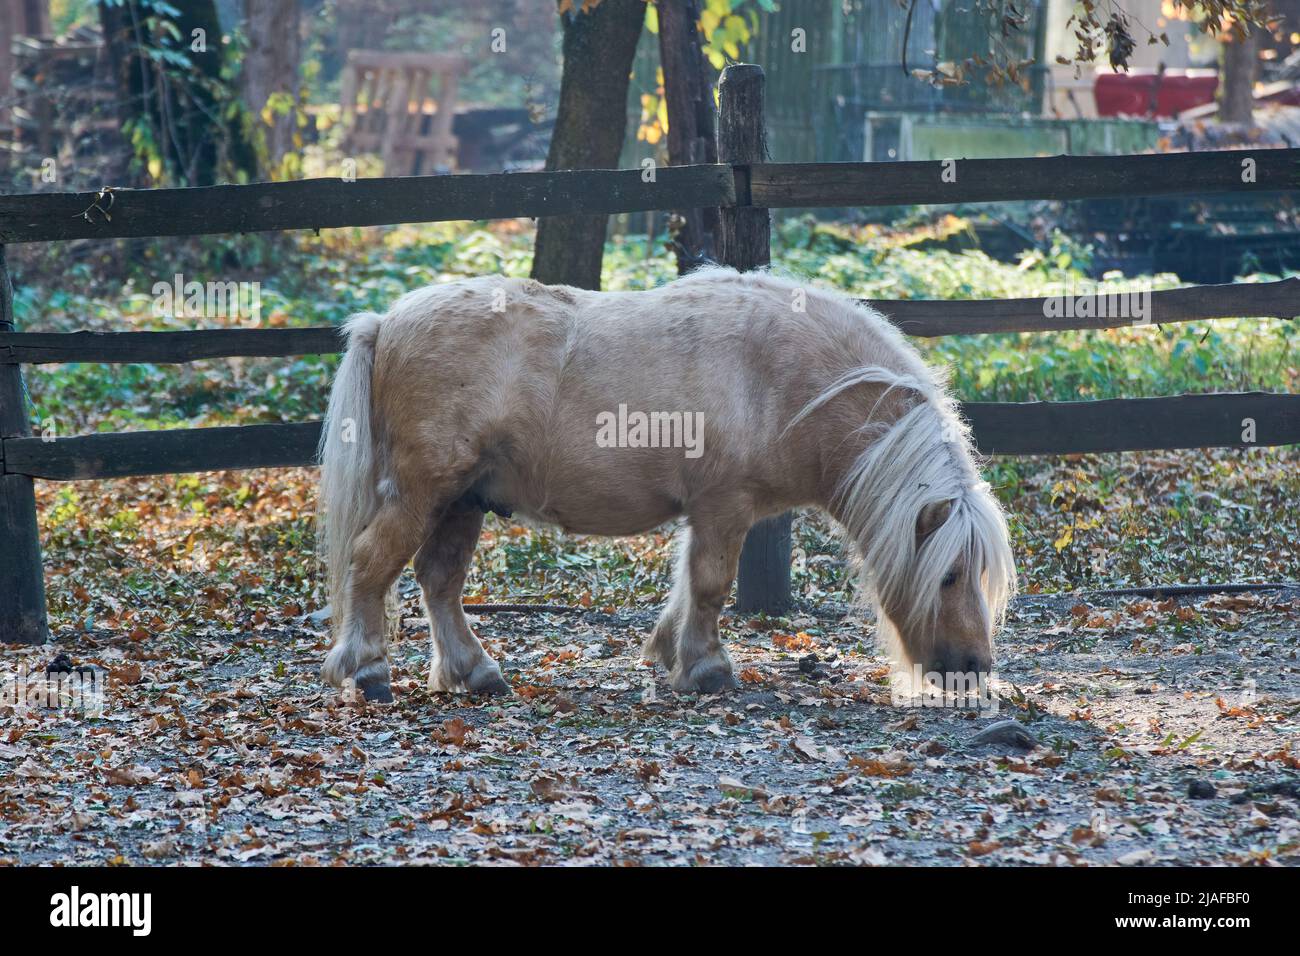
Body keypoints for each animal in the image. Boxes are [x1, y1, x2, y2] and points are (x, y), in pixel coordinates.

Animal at [314, 269, 1013, 702]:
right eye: (949, 575)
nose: (975, 668)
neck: (782, 376)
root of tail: (386, 322)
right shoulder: (724, 506)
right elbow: (709, 586)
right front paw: (707, 668)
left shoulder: (707, 512)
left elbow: (685, 587)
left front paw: (667, 654)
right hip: (422, 493)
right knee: (371, 565)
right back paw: (370, 670)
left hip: (463, 501)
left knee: (439, 583)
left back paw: (475, 671)